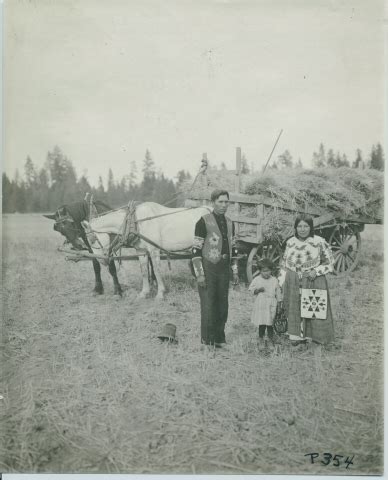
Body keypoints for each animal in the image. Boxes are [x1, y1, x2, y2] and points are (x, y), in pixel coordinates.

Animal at [80, 201, 211, 298]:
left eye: (92, 240)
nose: (101, 261)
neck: (135, 221)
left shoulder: (154, 250)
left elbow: (157, 271)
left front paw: (160, 293)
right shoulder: (141, 251)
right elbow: (143, 271)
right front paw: (144, 293)